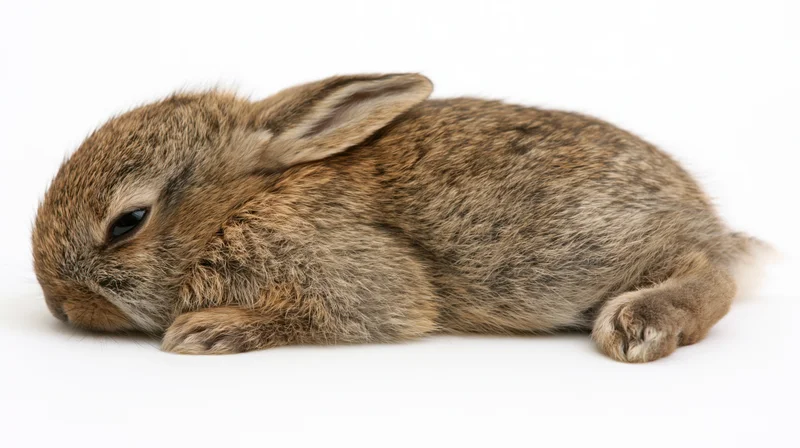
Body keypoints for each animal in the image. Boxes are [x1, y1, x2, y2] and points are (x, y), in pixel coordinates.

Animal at [31, 73, 760, 362]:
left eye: (129, 221)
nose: (58, 307)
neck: (237, 210)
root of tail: (704, 216)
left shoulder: (350, 275)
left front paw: (207, 331)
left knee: (712, 277)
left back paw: (641, 322)